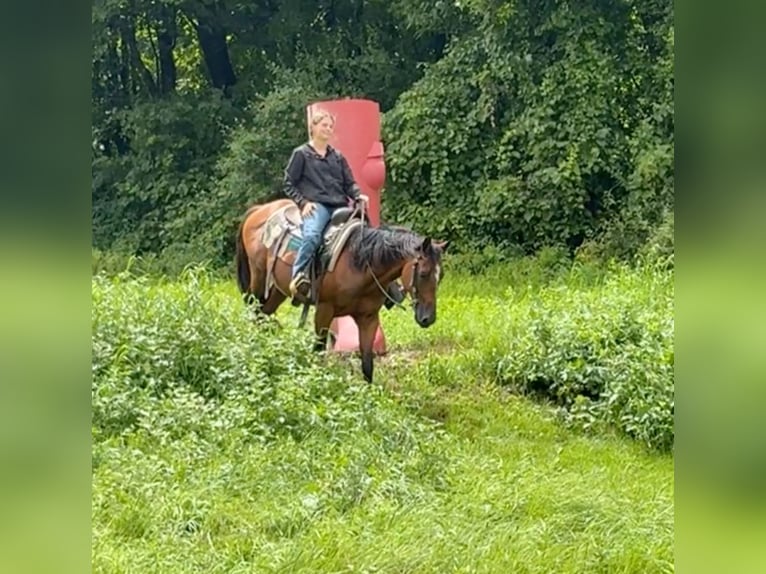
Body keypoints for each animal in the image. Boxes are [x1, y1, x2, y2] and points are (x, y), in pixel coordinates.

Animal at [237, 200, 448, 384]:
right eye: (423, 273)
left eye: (441, 276)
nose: (428, 318)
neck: (361, 264)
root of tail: (259, 209)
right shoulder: (324, 311)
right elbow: (319, 351)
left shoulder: (369, 318)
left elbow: (367, 362)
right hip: (258, 280)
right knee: (254, 312)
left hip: (278, 290)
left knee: (264, 315)